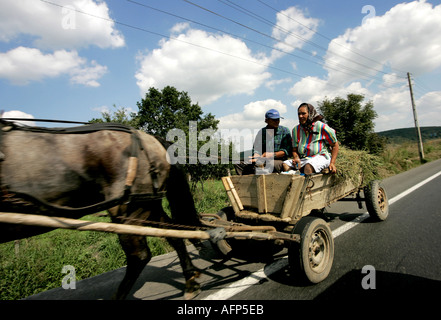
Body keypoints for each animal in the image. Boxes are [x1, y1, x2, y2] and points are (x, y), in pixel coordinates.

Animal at [0, 120, 201, 300]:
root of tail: (148, 137)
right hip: (147, 206)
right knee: (173, 234)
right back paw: (190, 279)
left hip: (129, 212)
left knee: (140, 256)